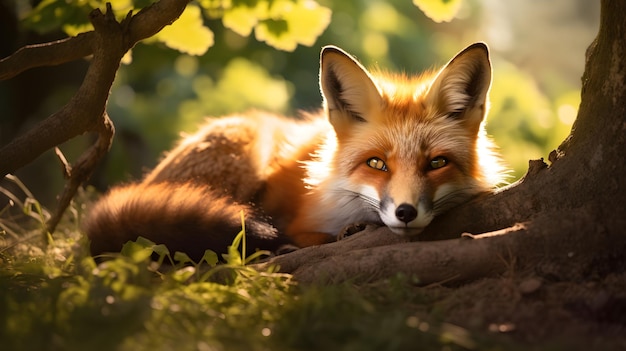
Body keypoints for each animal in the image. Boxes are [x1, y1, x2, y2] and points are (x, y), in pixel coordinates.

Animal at [84, 42, 502, 260]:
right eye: (376, 163)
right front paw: (340, 234)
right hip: (246, 147)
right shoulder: (301, 221)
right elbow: (308, 235)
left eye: (437, 163)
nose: (405, 212)